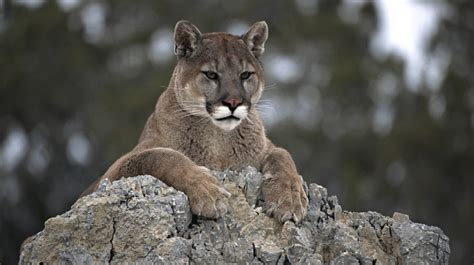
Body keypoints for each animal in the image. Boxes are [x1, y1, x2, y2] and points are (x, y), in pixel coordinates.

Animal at [81, 20, 308, 222]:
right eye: (211, 75)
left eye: (245, 74)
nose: (233, 103)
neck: (219, 141)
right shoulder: (116, 170)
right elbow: (162, 156)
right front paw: (208, 192)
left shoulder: (265, 148)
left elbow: (283, 155)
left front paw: (290, 198)